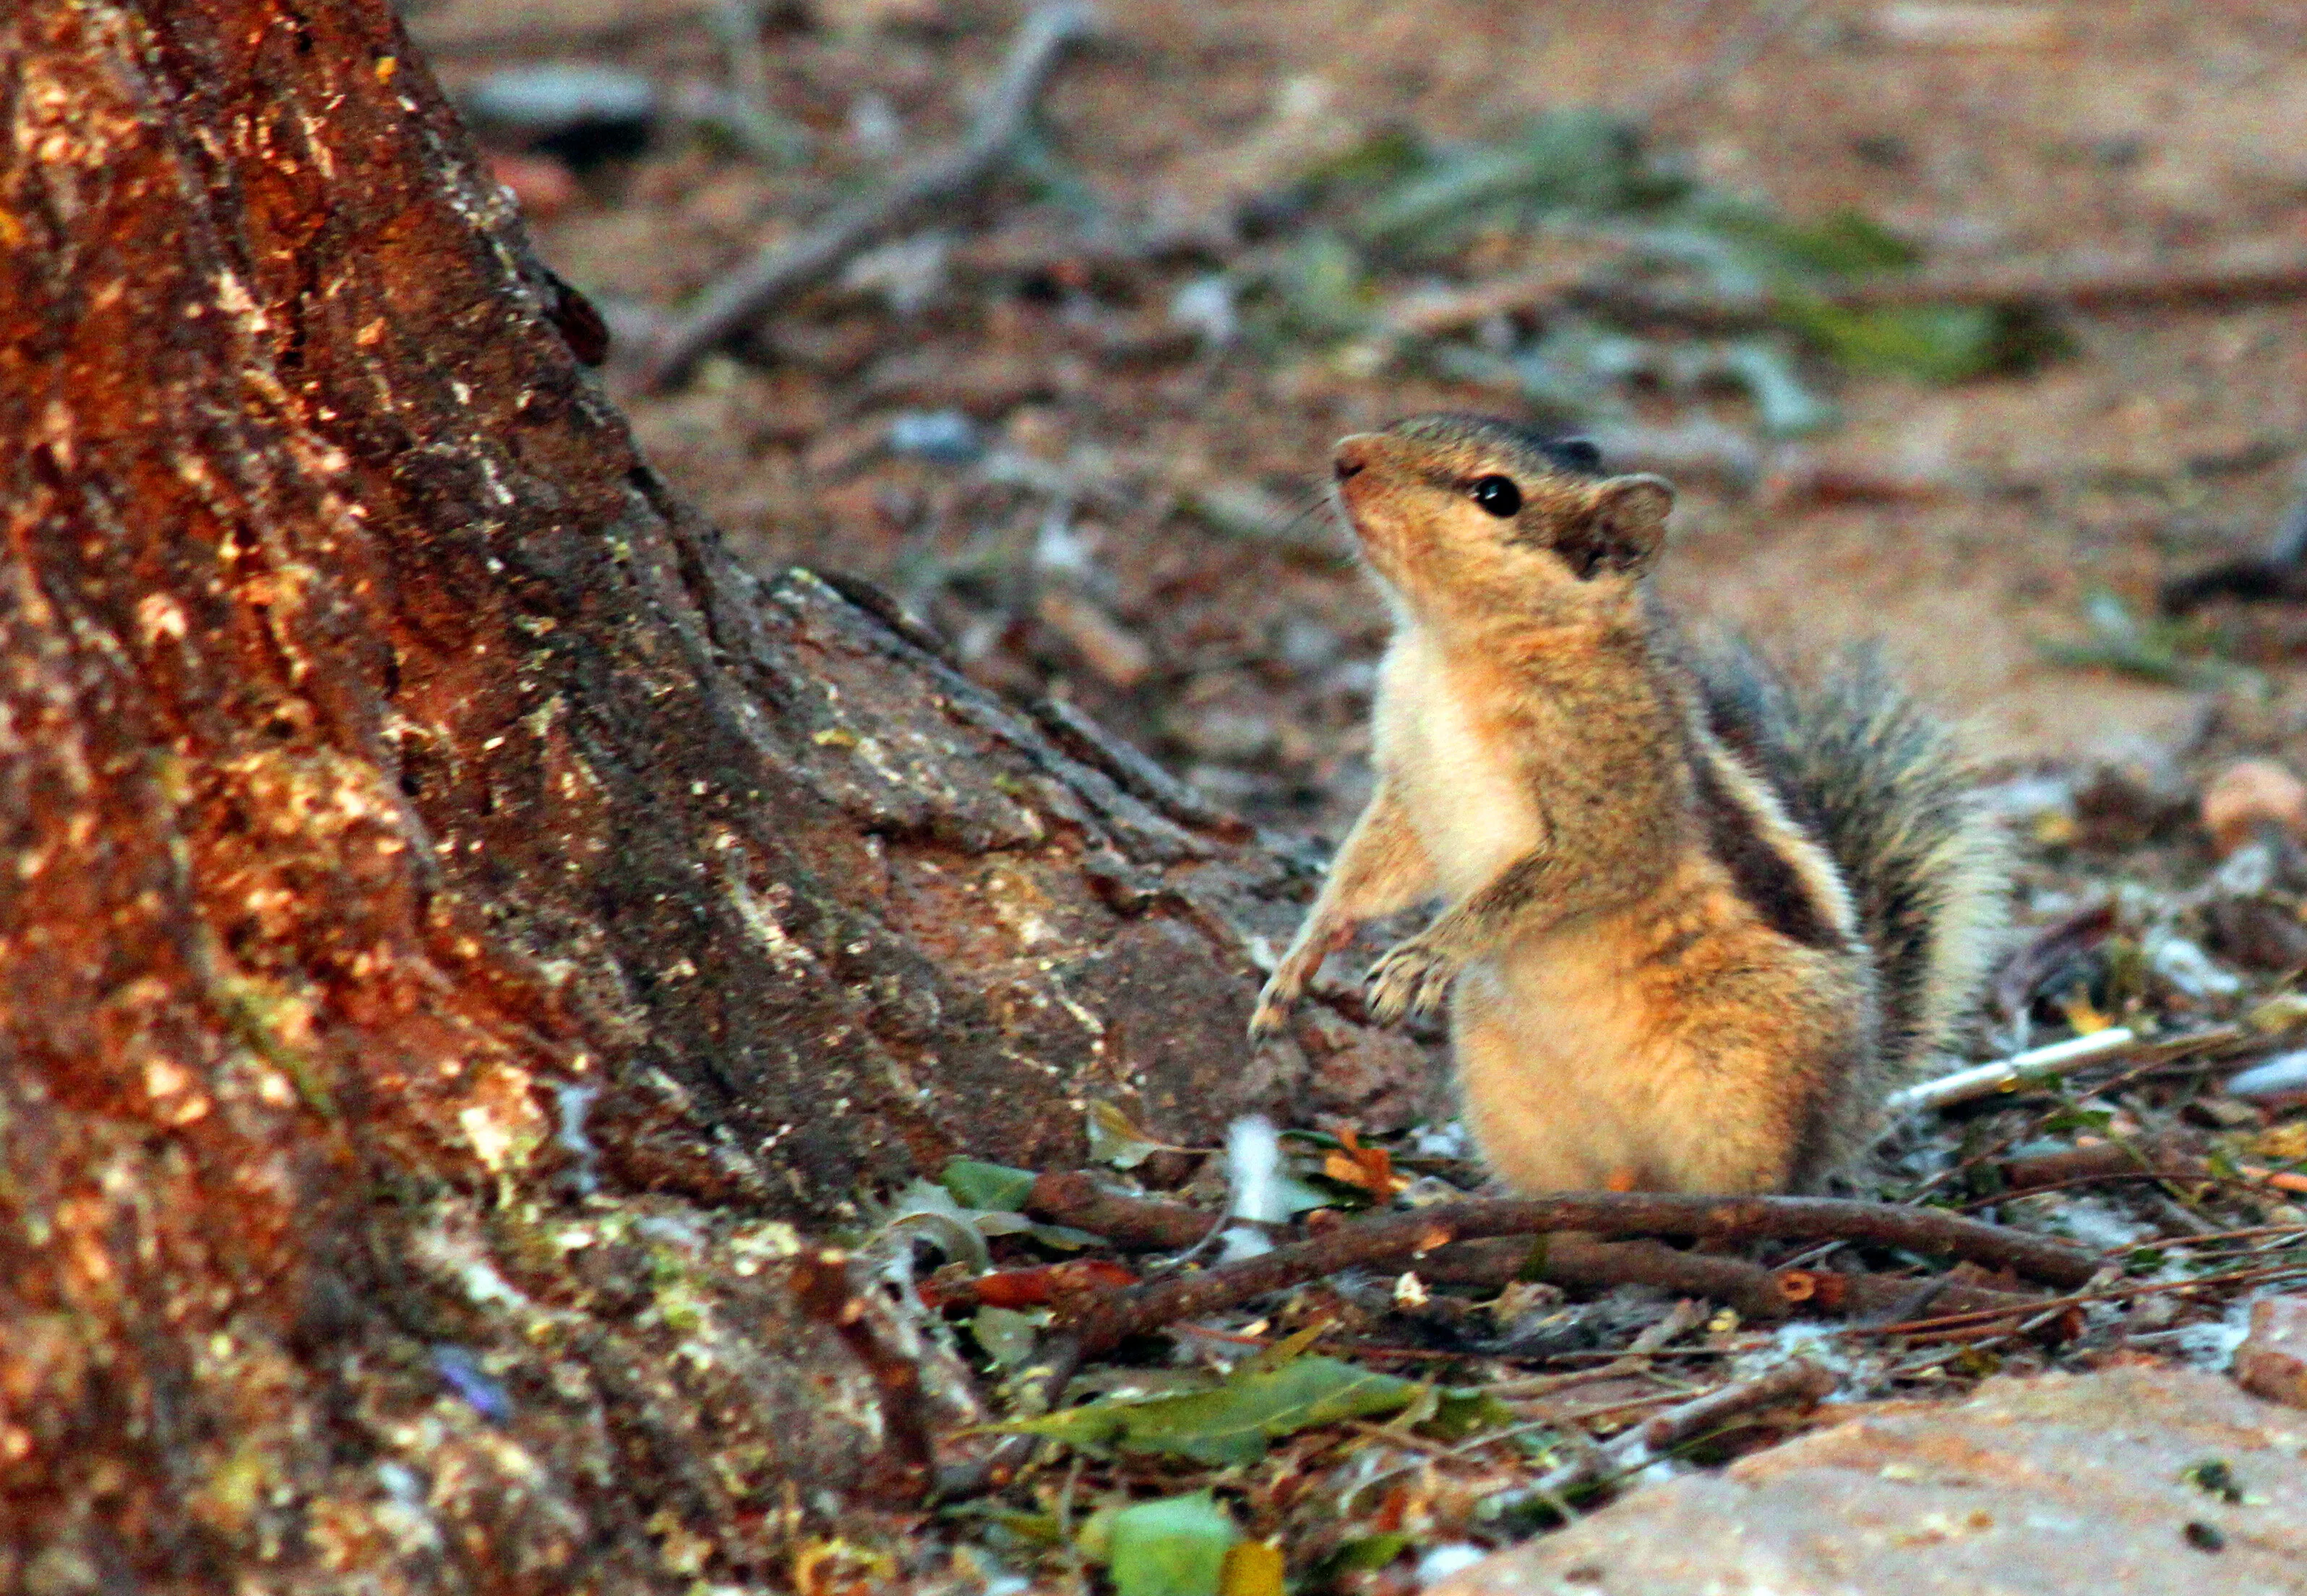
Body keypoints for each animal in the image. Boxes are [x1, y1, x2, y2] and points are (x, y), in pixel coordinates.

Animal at [1249, 414, 2009, 1195]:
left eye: (1496, 495)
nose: (1346, 456)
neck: (1454, 650)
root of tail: (1854, 1102)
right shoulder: (1410, 785)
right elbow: (1369, 869)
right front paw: (1300, 958)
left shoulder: (1615, 780)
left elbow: (1582, 865)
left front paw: (1428, 953)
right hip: (1508, 1093)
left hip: (1743, 1081)